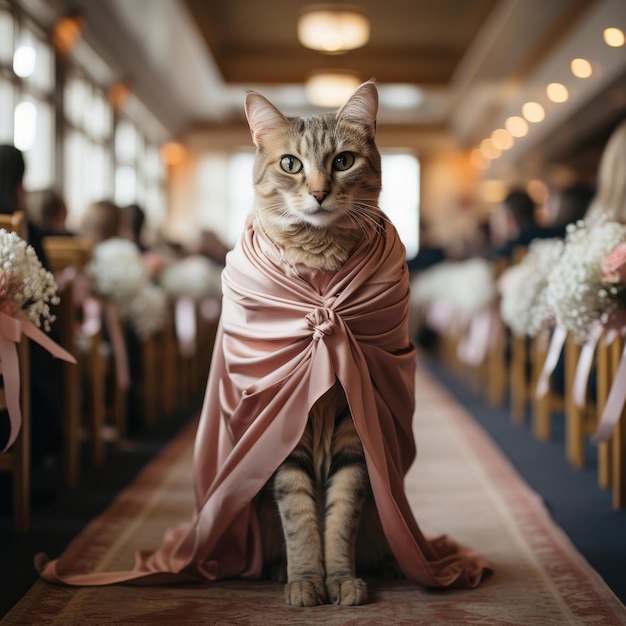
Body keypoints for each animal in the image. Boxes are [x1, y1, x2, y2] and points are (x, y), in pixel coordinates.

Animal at [244, 81, 400, 604]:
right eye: (291, 164)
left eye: (343, 161)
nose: (317, 193)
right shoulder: (283, 426)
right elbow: (298, 518)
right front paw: (306, 581)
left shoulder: (354, 432)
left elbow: (341, 516)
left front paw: (341, 581)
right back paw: (276, 570)